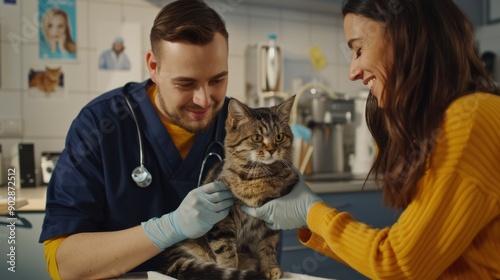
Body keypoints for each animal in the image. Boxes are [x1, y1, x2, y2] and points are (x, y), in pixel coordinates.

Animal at [162, 95, 298, 278]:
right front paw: (232, 270)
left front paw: (270, 267)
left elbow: (269, 244)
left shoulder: (273, 217)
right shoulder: (221, 221)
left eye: (279, 137)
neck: (259, 176)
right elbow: (225, 249)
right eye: (257, 138)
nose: (271, 150)